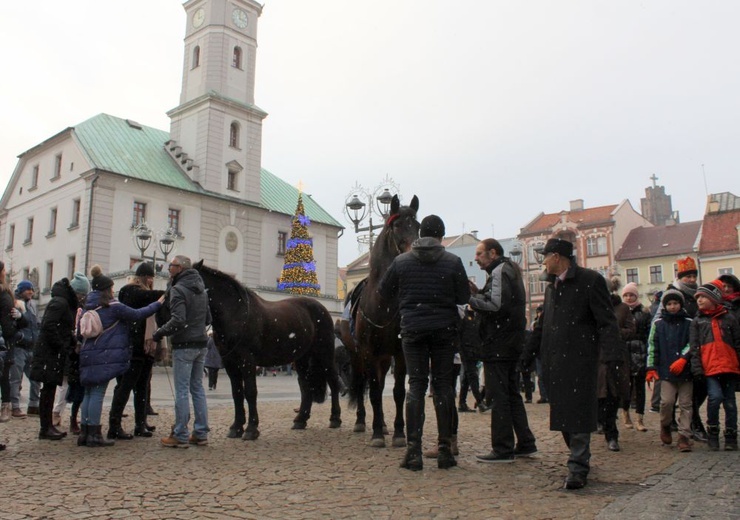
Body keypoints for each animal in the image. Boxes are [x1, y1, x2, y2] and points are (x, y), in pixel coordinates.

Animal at [191, 260, 342, 438]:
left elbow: (250, 392)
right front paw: (236, 427)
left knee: (333, 382)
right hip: (302, 359)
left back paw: (335, 418)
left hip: (324, 354)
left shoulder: (247, 361)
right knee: (306, 387)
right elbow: (237, 393)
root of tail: (322, 308)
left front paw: (251, 429)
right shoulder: (230, 363)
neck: (237, 314)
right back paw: (300, 420)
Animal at [344, 195, 420, 446]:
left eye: (417, 225)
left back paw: (385, 424)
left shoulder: (399, 352)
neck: (383, 300)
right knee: (362, 384)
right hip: (358, 355)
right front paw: (376, 433)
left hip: (384, 357)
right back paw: (362, 421)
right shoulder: (368, 351)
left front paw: (398, 432)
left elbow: (397, 392)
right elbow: (375, 391)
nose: (415, 251)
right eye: (396, 225)